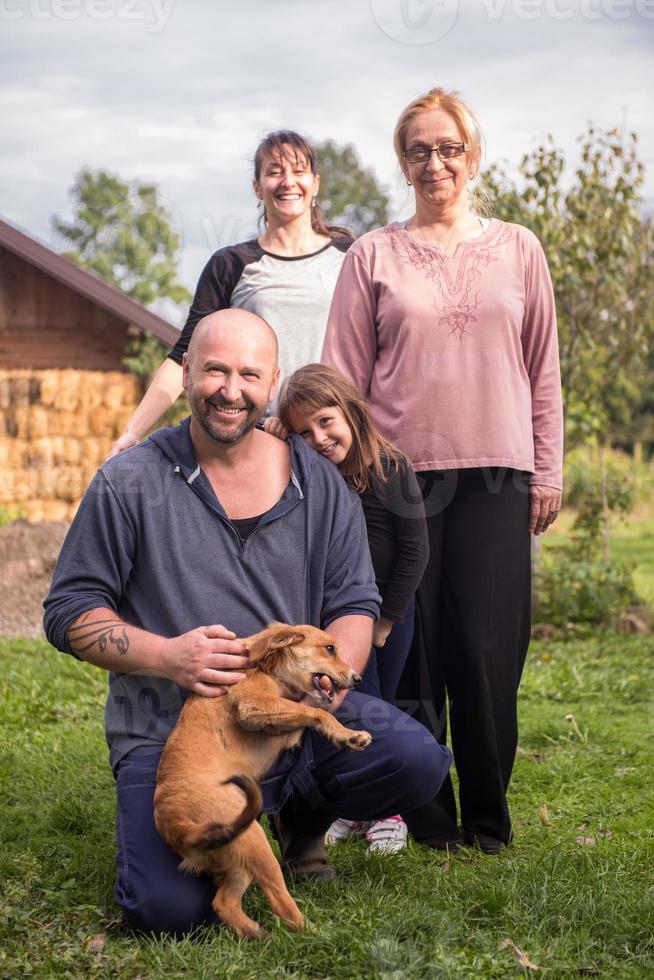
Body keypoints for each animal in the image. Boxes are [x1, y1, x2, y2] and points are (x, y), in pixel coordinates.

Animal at [151, 624, 372, 936]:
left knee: (224, 903)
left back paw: (257, 934)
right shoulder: (253, 706)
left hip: (237, 858)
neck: (264, 666)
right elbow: (314, 711)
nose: (358, 678)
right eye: (330, 649)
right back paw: (318, 935)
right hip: (256, 842)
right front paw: (347, 735)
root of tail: (178, 826)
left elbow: (306, 716)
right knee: (282, 905)